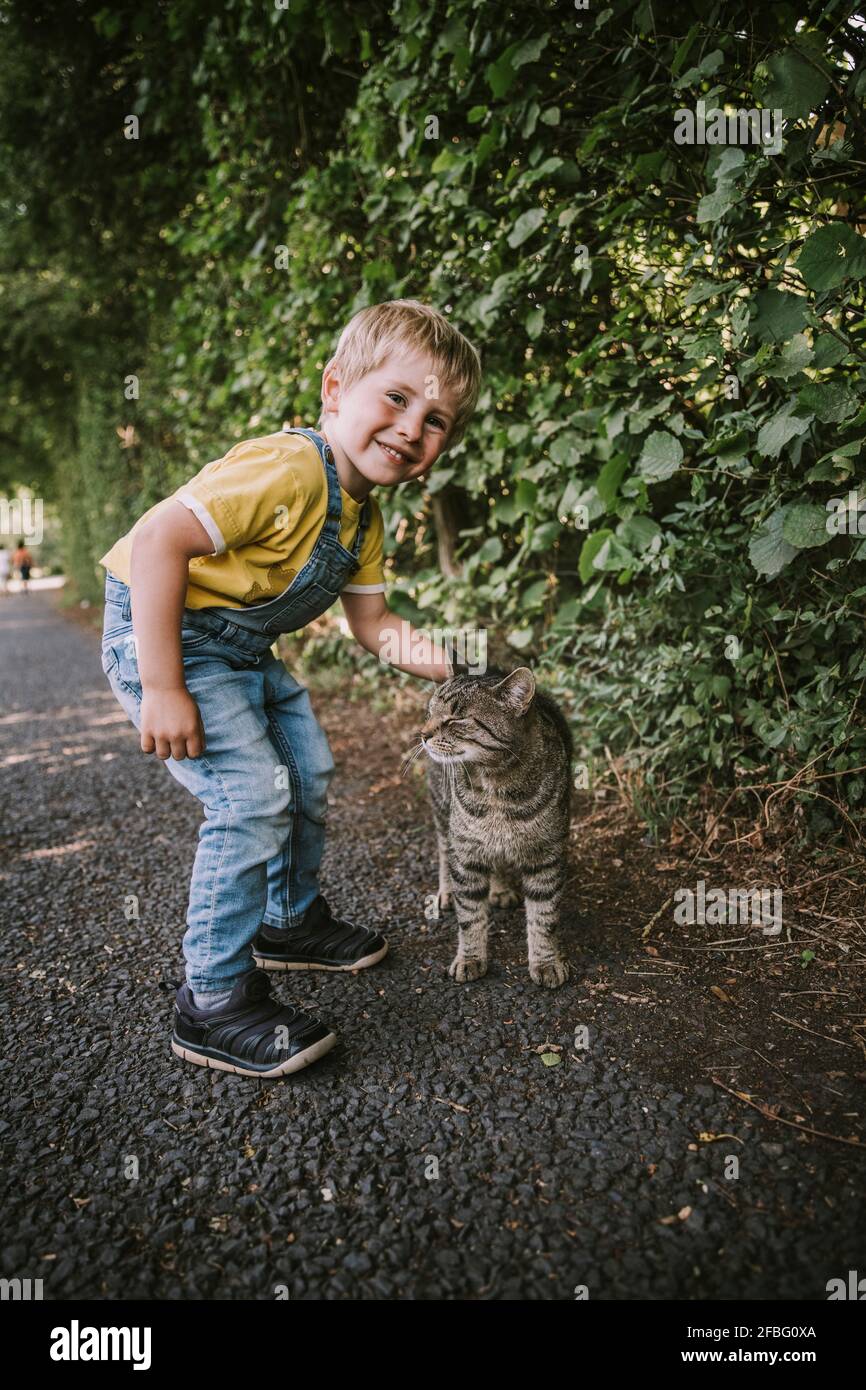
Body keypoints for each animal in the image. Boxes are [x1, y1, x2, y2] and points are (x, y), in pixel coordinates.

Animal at [422, 661, 575, 989]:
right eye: (430, 712)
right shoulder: (465, 853)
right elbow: (470, 917)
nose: (423, 734)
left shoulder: (547, 856)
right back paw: (446, 891)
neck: (495, 786)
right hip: (443, 811)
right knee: (443, 849)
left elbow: (544, 917)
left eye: (456, 718)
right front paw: (469, 958)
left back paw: (500, 888)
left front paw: (546, 962)